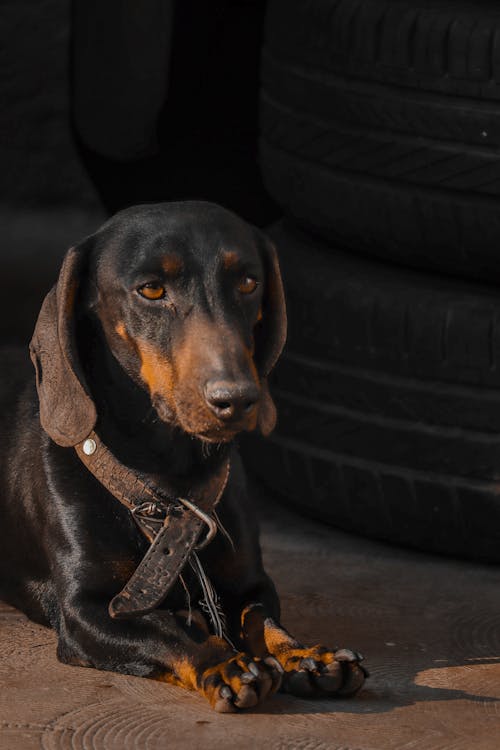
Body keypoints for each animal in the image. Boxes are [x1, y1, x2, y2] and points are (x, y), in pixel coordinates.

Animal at [0, 203, 368, 712]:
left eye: (248, 283)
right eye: (152, 290)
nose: (237, 399)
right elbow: (167, 631)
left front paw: (306, 655)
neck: (169, 488)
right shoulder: (86, 609)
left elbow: (263, 620)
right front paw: (224, 663)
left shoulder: (250, 582)